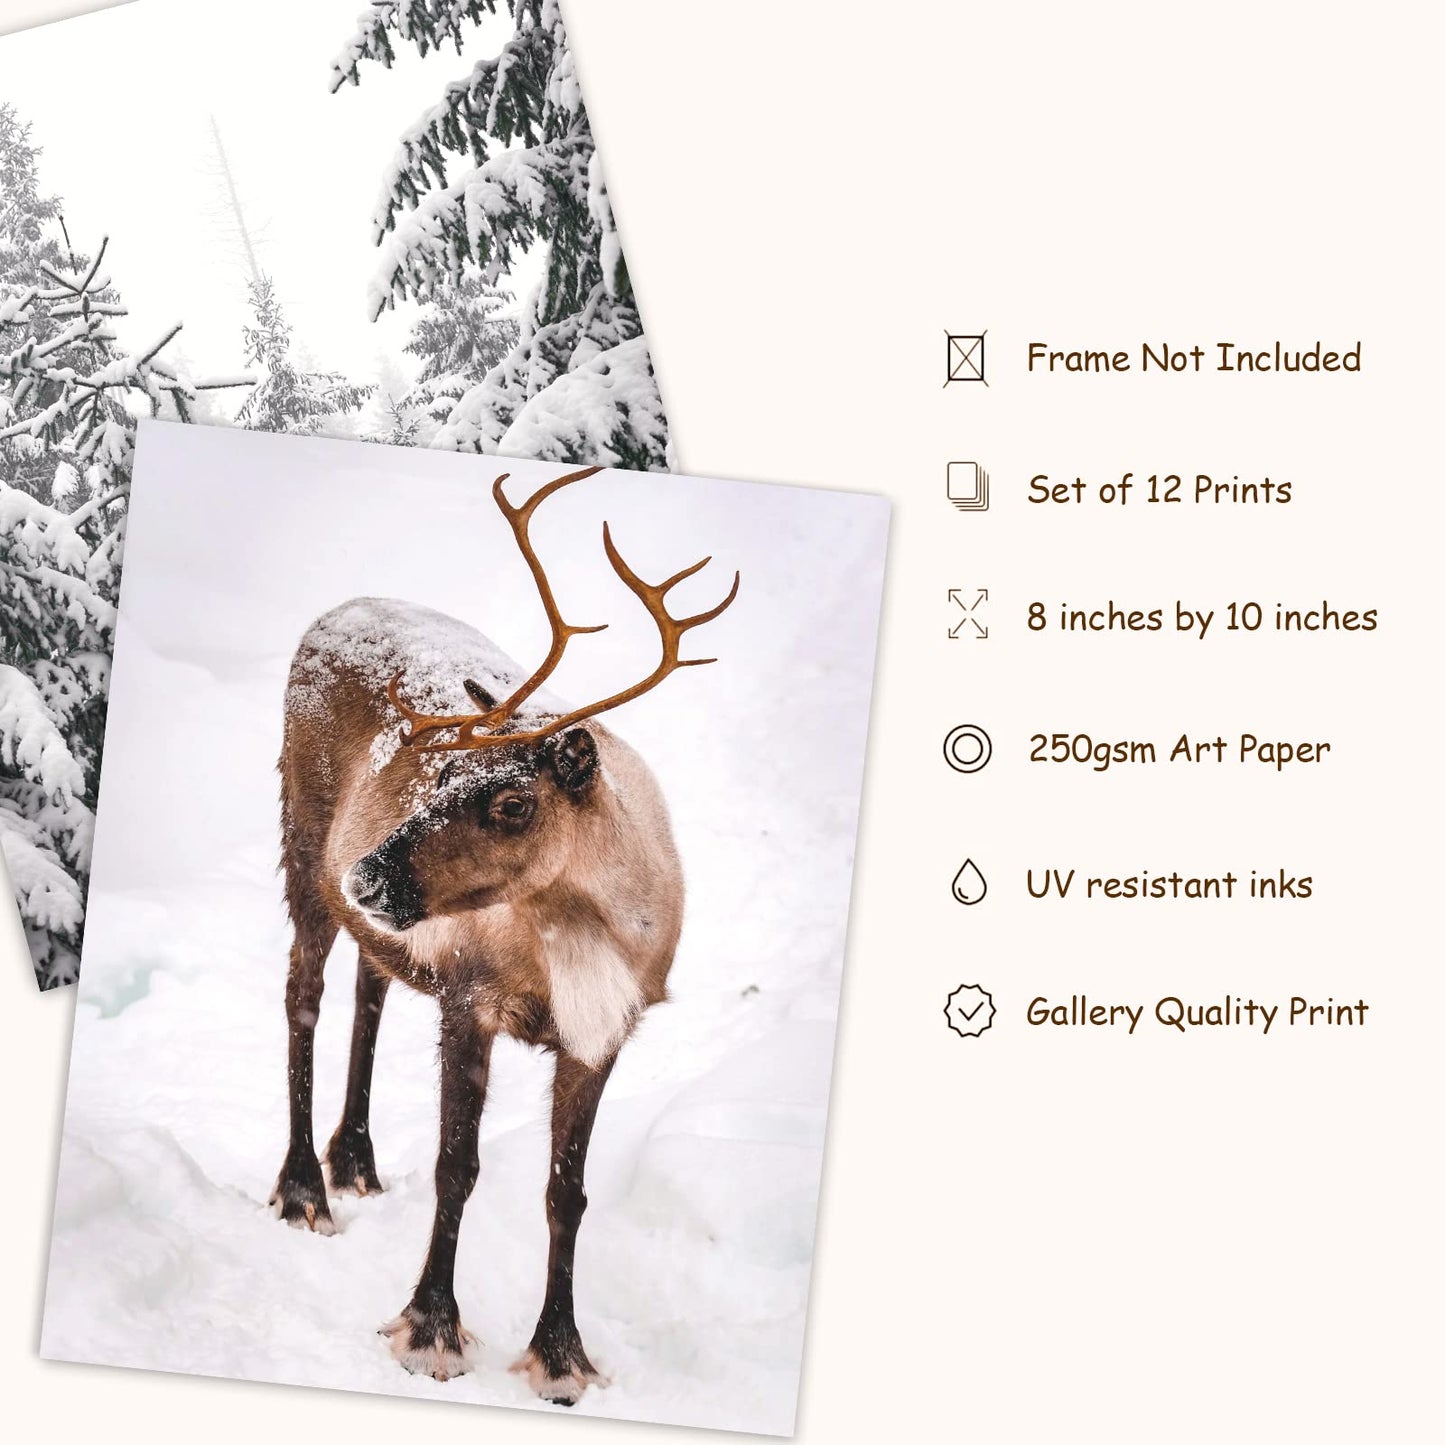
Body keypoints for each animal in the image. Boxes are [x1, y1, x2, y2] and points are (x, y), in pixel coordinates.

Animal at [269, 463, 738, 1404]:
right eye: (443, 768)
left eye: (514, 801)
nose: (366, 873)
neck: (575, 932)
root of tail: (333, 610)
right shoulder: (470, 998)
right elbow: (459, 1166)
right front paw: (431, 1329)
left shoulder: (604, 1032)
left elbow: (569, 1193)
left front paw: (561, 1354)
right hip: (300, 843)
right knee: (304, 993)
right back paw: (304, 1188)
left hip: (379, 924)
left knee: (370, 992)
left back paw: (354, 1159)